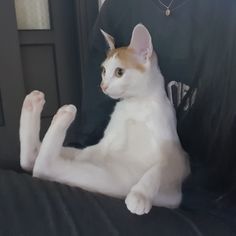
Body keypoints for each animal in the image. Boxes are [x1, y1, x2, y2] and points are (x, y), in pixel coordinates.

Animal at [19, 24, 191, 216]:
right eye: (103, 71)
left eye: (119, 72)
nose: (103, 86)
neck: (136, 104)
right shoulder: (106, 143)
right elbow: (91, 151)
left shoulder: (178, 158)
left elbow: (157, 170)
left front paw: (140, 194)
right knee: (36, 161)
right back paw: (36, 105)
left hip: (107, 179)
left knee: (42, 167)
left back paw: (59, 112)